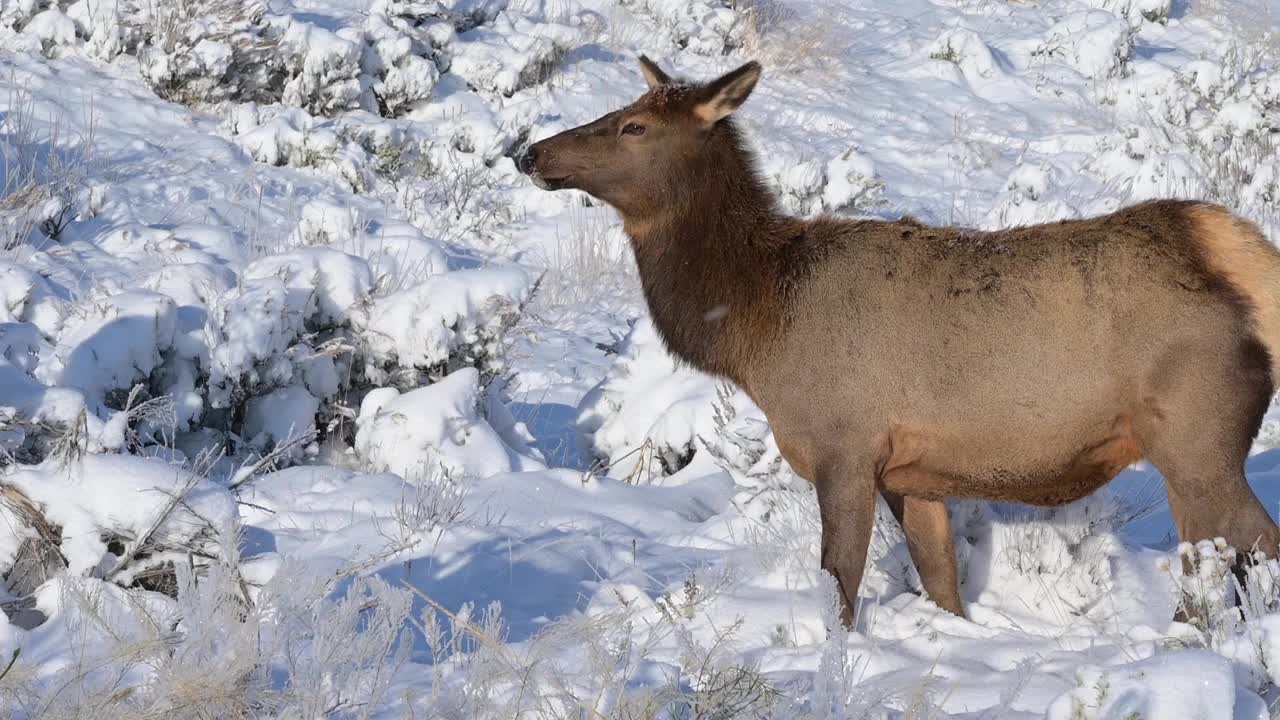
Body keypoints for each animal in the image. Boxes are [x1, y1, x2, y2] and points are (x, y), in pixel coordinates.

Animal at [514, 56, 1280, 620]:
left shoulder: (844, 446)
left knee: (1246, 550)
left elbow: (840, 583)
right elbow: (941, 580)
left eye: (634, 125)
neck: (756, 324)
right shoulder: (915, 474)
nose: (530, 152)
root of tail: (1236, 252)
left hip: (1197, 439)